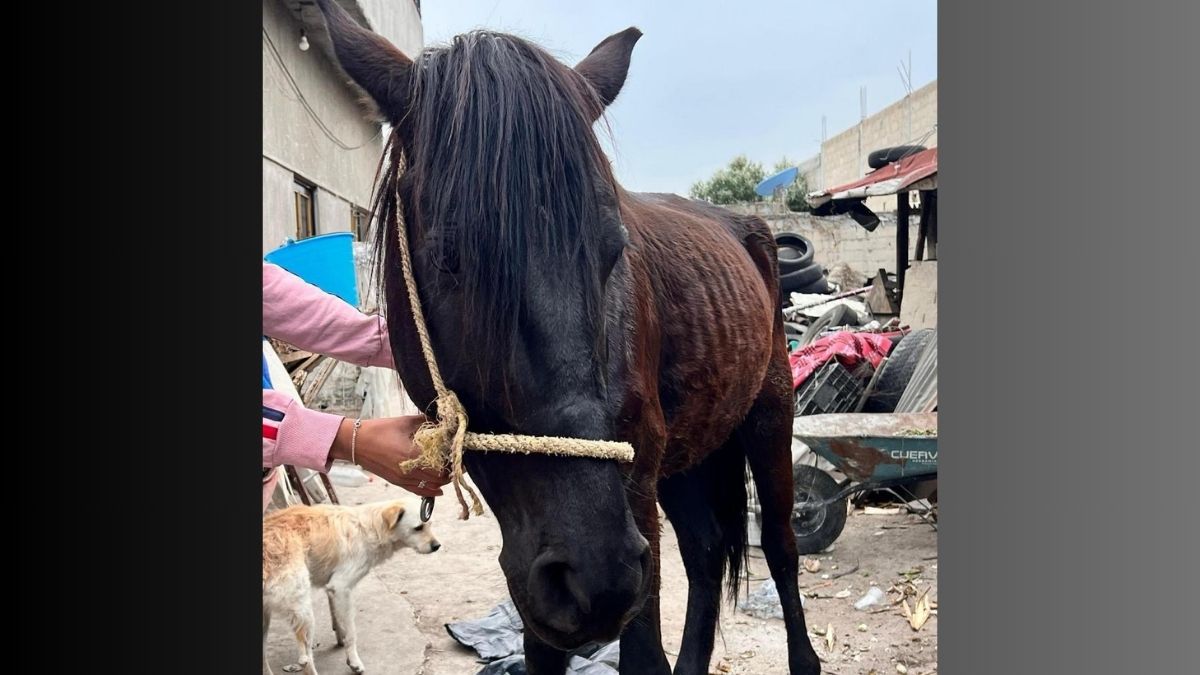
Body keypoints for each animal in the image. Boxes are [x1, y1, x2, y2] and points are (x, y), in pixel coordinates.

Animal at [265, 497, 444, 667]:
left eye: (430, 525)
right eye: (418, 528)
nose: (437, 546)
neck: (371, 528)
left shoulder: (331, 588)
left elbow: (338, 621)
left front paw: (339, 639)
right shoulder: (341, 587)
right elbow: (351, 632)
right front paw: (353, 661)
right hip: (303, 611)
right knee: (306, 659)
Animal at [312, 2, 816, 667]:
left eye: (612, 251)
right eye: (449, 259)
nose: (595, 580)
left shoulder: (633, 500)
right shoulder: (540, 567)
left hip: (767, 417)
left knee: (781, 547)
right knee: (706, 553)